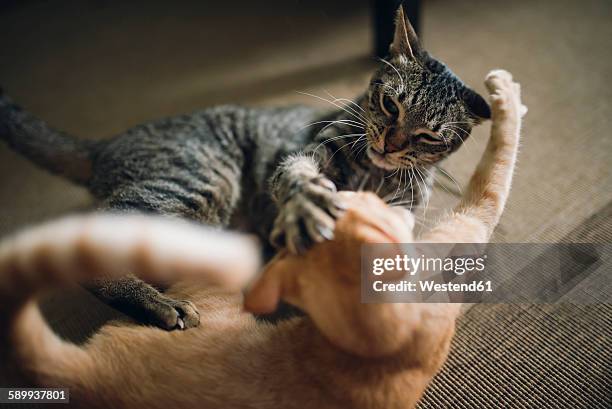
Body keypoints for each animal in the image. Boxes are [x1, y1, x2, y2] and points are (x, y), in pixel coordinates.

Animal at [0, 7, 488, 330]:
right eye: (390, 104)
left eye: (429, 137)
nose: (391, 144)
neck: (375, 171)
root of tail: (105, 145)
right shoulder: (306, 152)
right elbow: (298, 179)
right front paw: (308, 206)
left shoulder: (405, 206)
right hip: (200, 181)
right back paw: (160, 305)